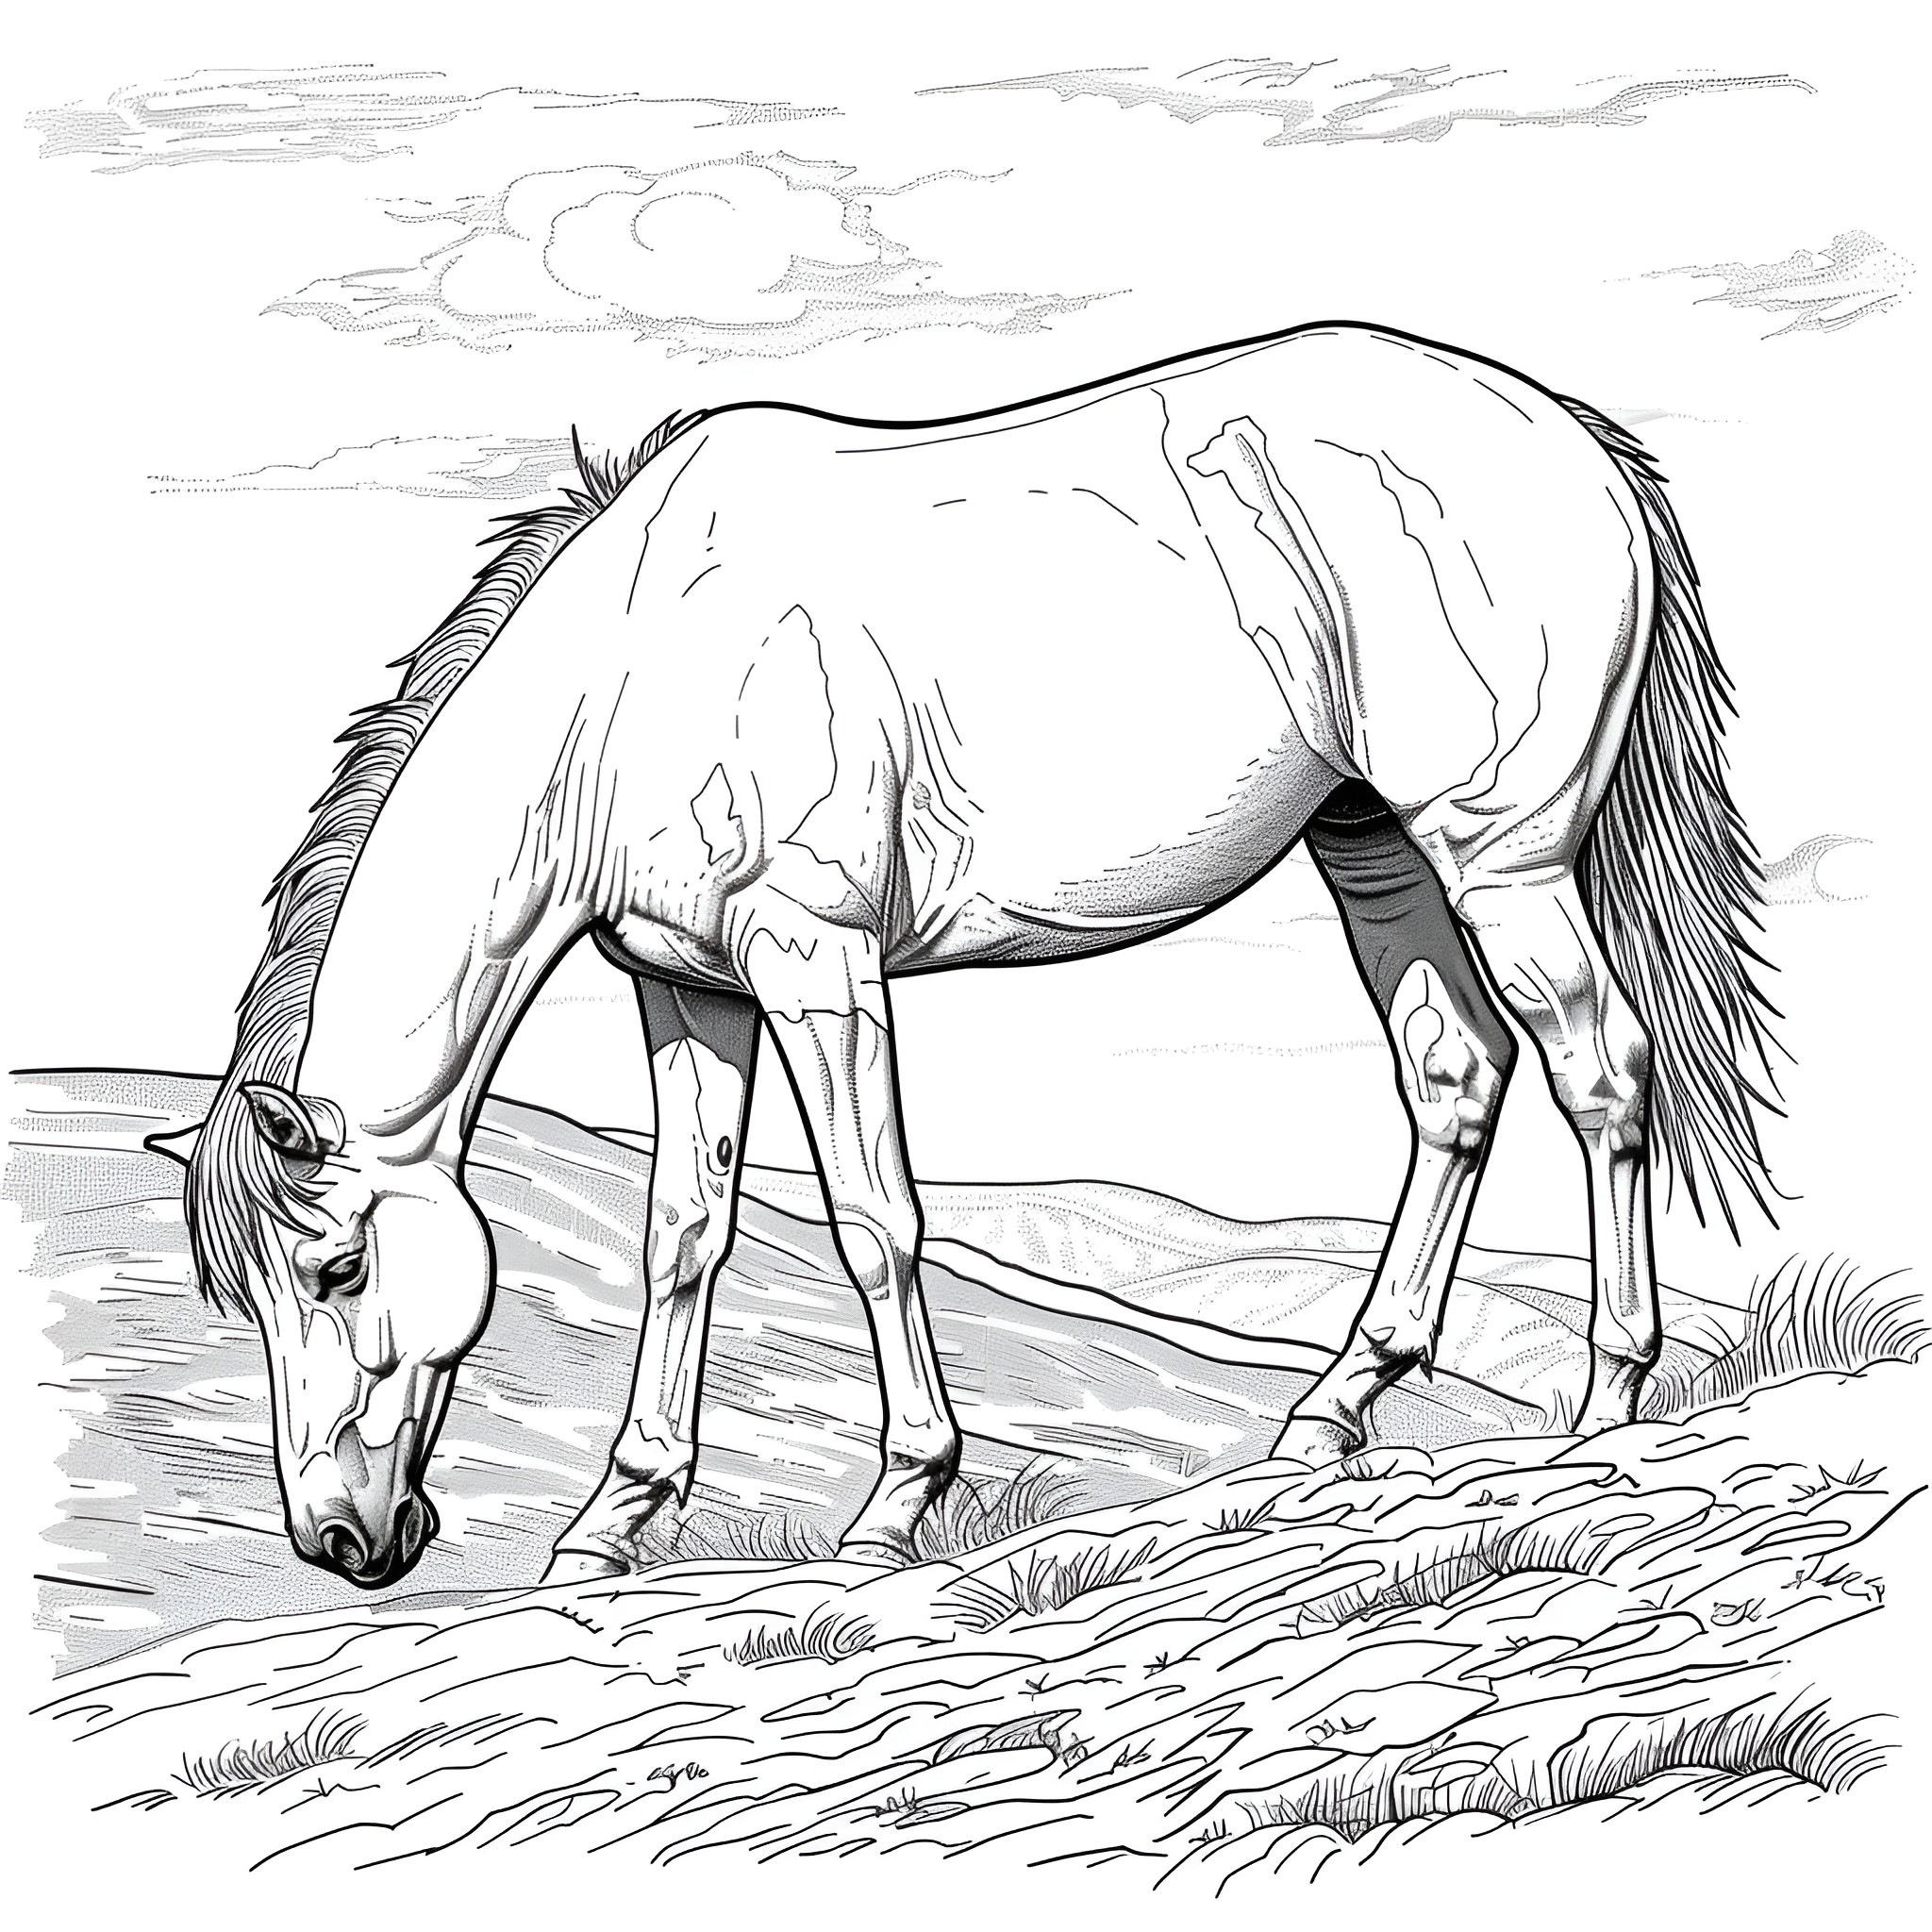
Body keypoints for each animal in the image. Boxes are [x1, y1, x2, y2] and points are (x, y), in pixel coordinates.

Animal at [149, 322, 1779, 1589]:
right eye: (255, 1298)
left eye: (339, 1267)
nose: (342, 1543)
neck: (630, 664)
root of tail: (1567, 433)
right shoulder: (689, 989)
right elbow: (684, 1237)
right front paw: (614, 1522)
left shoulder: (814, 964)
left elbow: (876, 1221)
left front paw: (896, 1503)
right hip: (1373, 845)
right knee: (1455, 1077)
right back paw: (1335, 1413)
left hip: (1501, 858)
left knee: (1601, 1071)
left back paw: (1606, 1404)